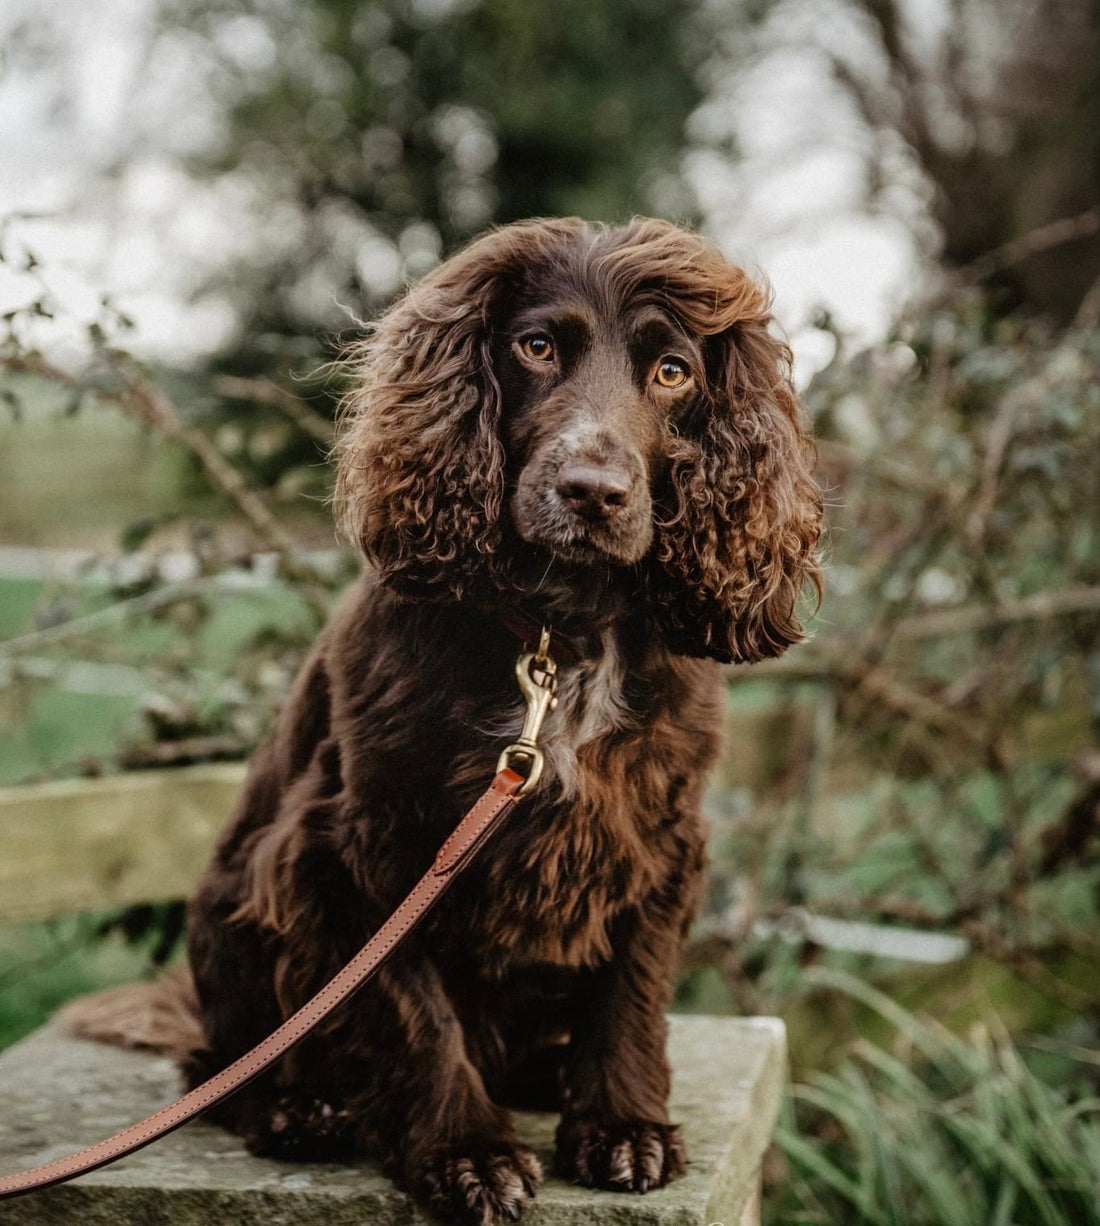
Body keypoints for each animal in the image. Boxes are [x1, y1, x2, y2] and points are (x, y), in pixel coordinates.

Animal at [62, 220, 814, 1226]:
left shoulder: (660, 834)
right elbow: (414, 1009)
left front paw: (624, 1127)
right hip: (238, 906)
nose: (592, 491)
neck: (559, 635)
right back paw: (302, 1108)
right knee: (219, 1067)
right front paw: (466, 1153)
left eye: (672, 371)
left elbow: (633, 988)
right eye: (536, 348)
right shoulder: (364, 841)